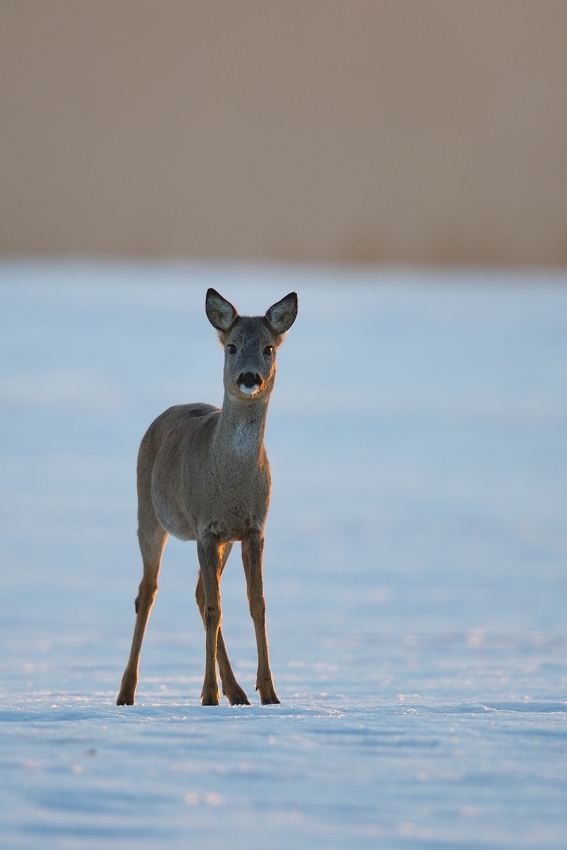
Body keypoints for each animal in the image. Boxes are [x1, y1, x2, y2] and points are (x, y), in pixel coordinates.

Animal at [117, 288, 298, 707]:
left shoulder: (251, 528)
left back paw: (237, 691)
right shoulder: (205, 528)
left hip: (221, 541)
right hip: (148, 515)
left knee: (199, 592)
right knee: (147, 593)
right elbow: (217, 608)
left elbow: (257, 604)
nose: (249, 378)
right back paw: (126, 692)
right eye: (231, 347)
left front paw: (269, 693)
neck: (231, 477)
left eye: (268, 348)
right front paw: (207, 695)